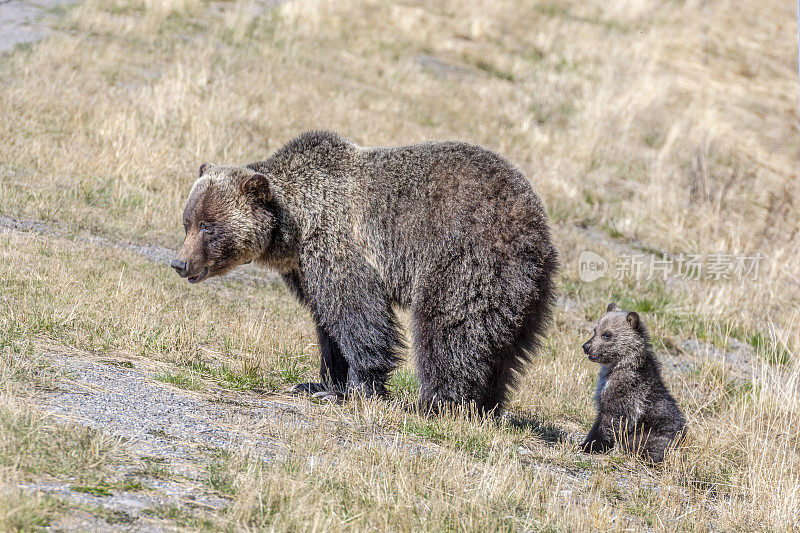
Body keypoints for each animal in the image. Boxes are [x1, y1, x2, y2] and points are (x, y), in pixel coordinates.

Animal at [170, 131, 556, 414]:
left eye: (209, 226)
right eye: (188, 222)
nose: (180, 263)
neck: (295, 229)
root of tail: (536, 223)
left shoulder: (340, 245)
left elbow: (358, 315)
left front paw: (354, 389)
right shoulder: (305, 270)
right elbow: (327, 324)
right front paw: (318, 383)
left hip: (467, 258)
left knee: (449, 328)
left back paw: (435, 403)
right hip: (523, 291)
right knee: (503, 347)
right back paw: (487, 405)